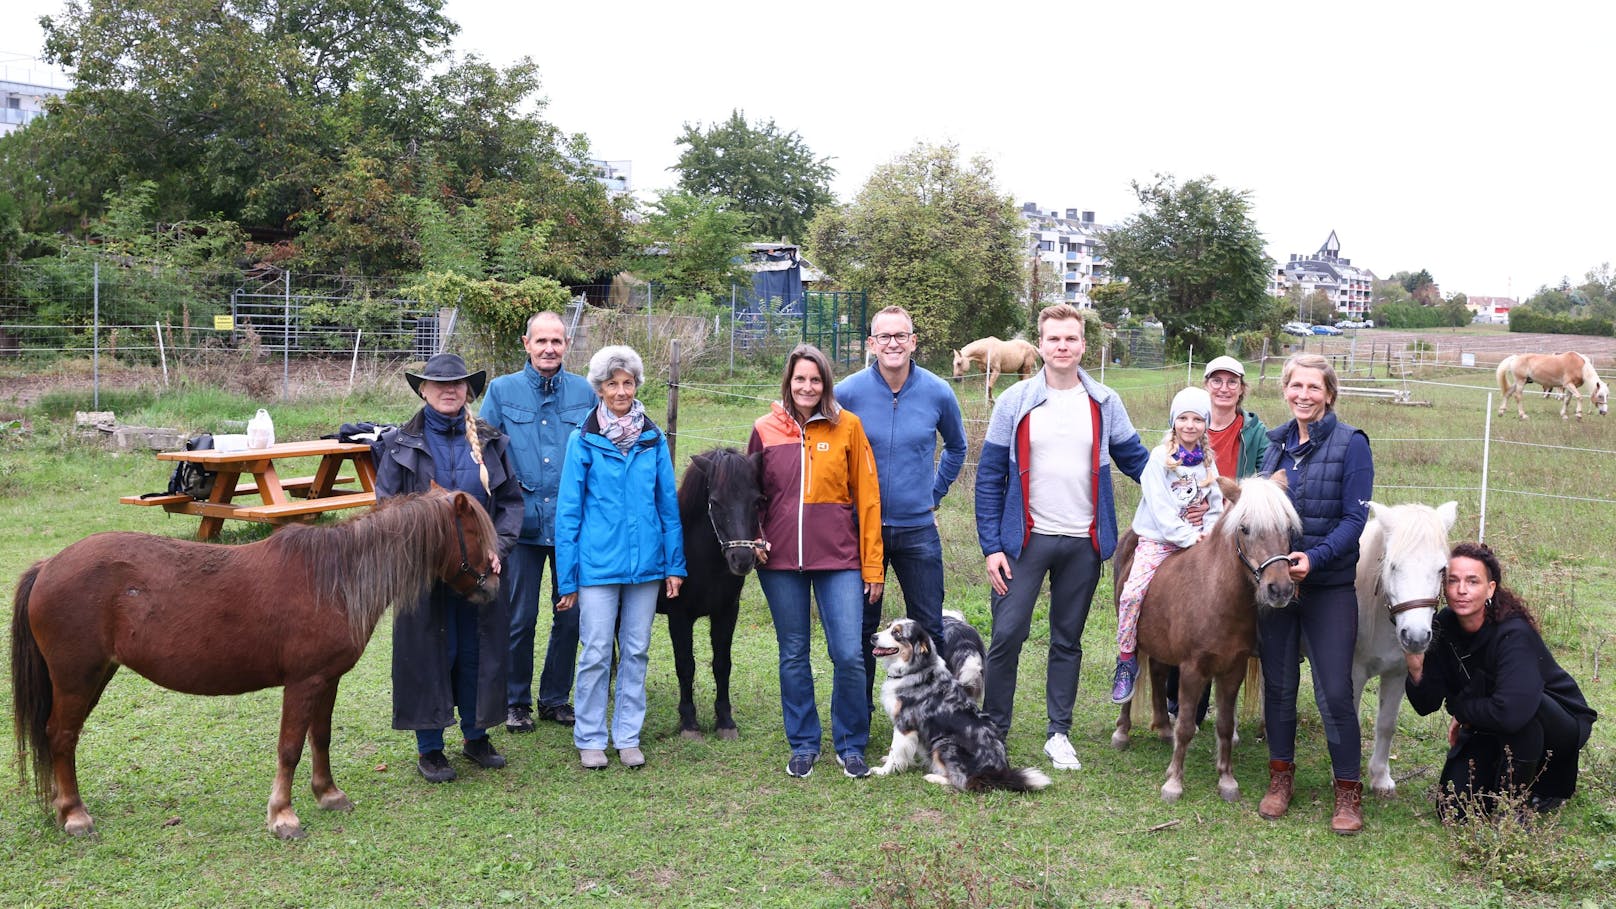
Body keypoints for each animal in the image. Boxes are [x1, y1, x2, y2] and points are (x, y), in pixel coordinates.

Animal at [9, 488, 497, 834]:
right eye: (474, 534)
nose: (493, 584)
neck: (334, 578)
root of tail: (49, 564)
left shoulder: (327, 680)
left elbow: (320, 738)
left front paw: (328, 794)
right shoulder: (302, 682)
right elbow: (289, 748)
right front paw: (283, 816)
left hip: (94, 676)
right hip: (77, 678)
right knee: (61, 737)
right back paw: (75, 815)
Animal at [652, 446, 765, 737]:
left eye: (757, 501)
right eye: (715, 502)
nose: (742, 559)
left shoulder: (726, 613)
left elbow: (722, 664)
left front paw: (725, 721)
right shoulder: (679, 617)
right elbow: (685, 665)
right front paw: (689, 722)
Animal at [872, 614, 1047, 786]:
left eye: (897, 633)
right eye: (887, 627)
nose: (873, 636)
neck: (914, 670)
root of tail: (997, 772)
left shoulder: (905, 723)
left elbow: (895, 750)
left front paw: (884, 771)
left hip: (944, 744)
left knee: (962, 781)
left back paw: (934, 777)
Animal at [1111, 469, 1299, 802]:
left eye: (1288, 528)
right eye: (1245, 529)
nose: (1279, 589)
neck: (1216, 595)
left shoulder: (1233, 670)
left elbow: (1224, 725)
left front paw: (1227, 780)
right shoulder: (1192, 669)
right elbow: (1186, 725)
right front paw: (1174, 783)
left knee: (1157, 674)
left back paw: (1163, 728)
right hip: (1131, 632)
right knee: (1131, 675)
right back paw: (1122, 731)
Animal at [1344, 494, 1460, 792]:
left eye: (1442, 569)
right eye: (1393, 565)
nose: (1416, 637)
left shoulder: (1397, 673)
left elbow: (1387, 724)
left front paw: (1380, 777)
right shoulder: (1353, 674)